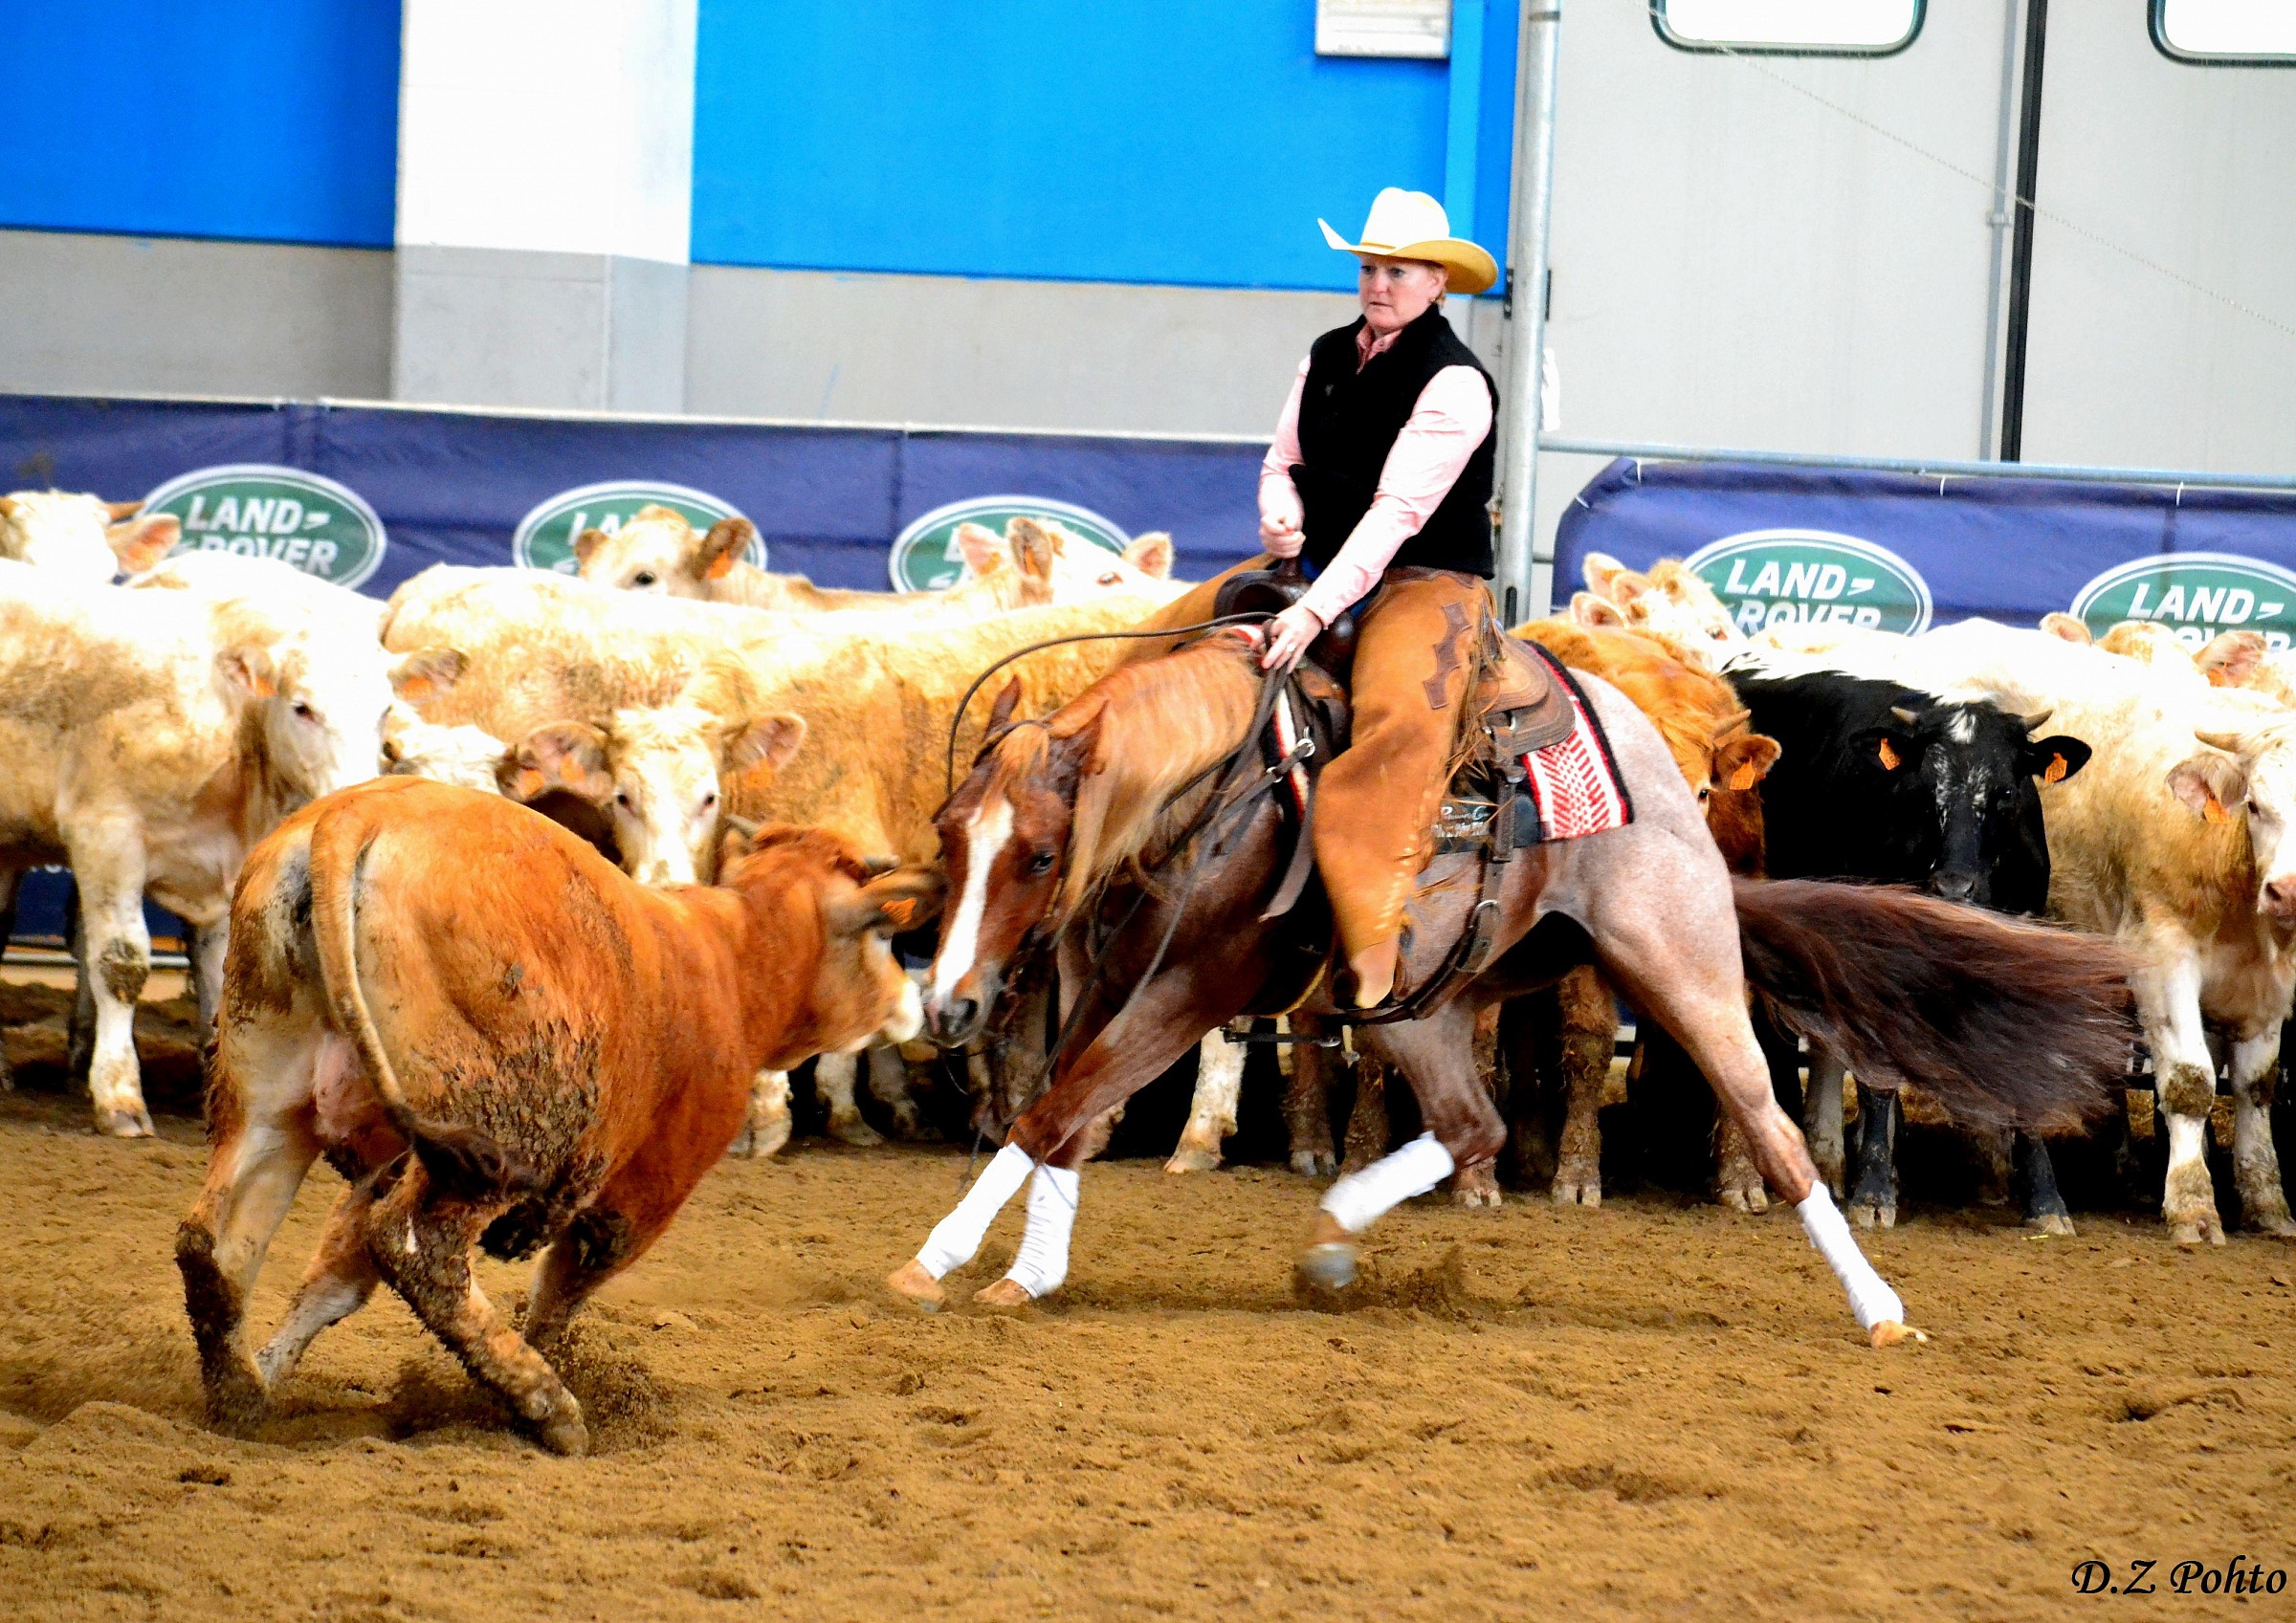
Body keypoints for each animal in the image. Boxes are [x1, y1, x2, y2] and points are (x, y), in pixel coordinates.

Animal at [887, 627, 2131, 1345]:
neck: (1211, 804)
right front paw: (1028, 1270)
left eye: (1038, 853)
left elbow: (1054, 1111)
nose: (948, 1005)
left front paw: (932, 1262)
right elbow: (1068, 1117)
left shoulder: (1192, 984)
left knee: (1773, 1133)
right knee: (1473, 1122)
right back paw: (1339, 1227)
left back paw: (1878, 1307)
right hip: (1426, 1004)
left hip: (1682, 970)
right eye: (951, 829)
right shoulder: (1107, 981)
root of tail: (1678, 803)